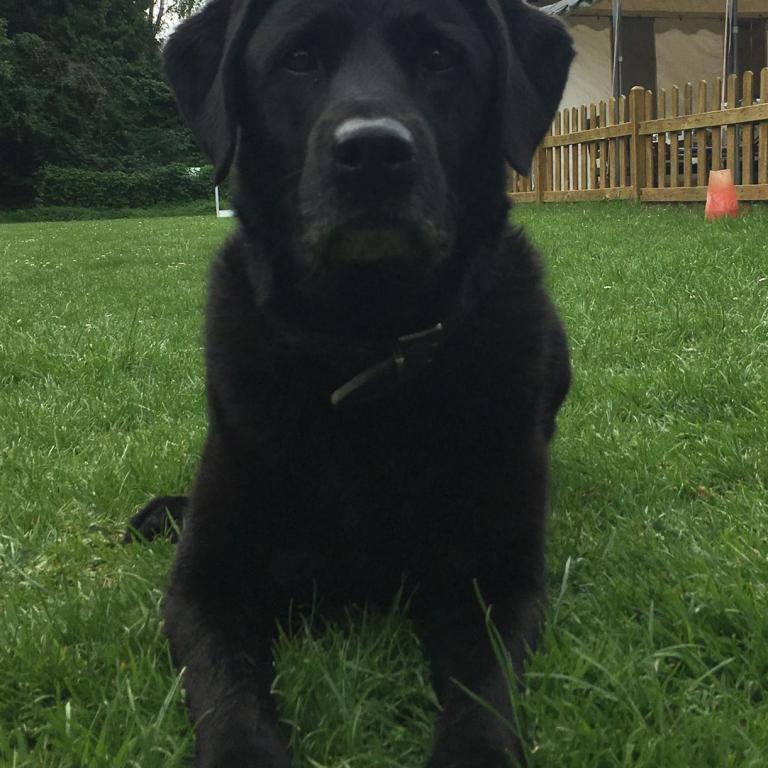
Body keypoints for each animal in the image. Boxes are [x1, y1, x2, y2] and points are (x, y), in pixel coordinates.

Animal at [126, 1, 573, 766]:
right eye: (299, 59)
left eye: (441, 57)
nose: (372, 154)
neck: (367, 349)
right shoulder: (205, 585)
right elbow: (229, 692)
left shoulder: (498, 580)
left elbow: (483, 697)